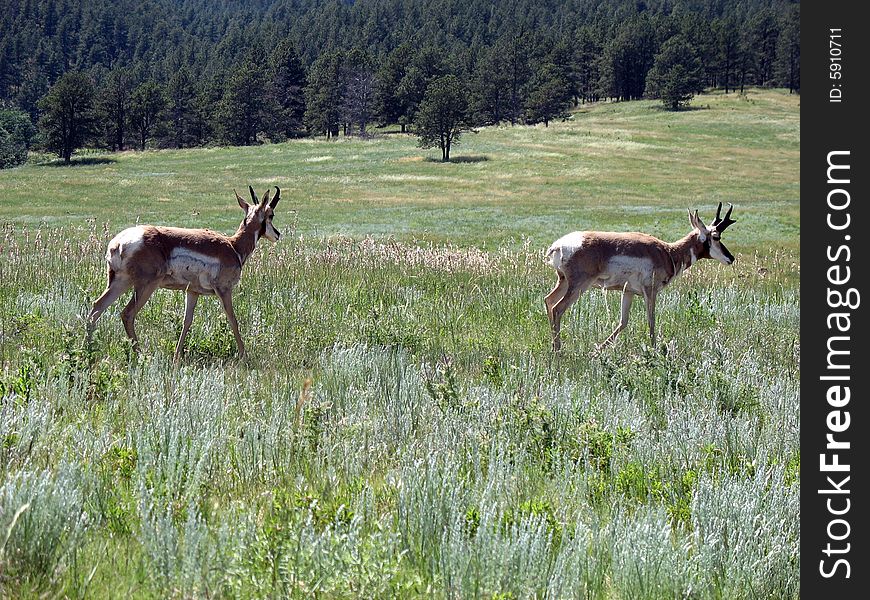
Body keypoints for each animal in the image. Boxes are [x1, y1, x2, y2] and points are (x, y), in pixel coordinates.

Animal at [87, 185, 282, 358]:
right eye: (271, 214)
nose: (278, 234)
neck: (233, 246)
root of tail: (118, 243)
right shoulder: (224, 290)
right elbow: (233, 319)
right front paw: (244, 356)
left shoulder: (193, 292)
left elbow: (187, 322)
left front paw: (176, 357)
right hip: (146, 286)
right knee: (127, 314)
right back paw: (140, 355)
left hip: (120, 282)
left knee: (96, 307)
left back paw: (88, 352)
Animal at [548, 203, 740, 352]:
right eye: (716, 236)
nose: (731, 258)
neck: (668, 252)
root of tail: (558, 245)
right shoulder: (650, 292)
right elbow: (651, 321)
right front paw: (654, 351)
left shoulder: (628, 292)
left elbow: (623, 322)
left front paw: (596, 353)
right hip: (579, 286)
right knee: (557, 308)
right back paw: (558, 352)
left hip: (563, 282)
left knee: (548, 301)